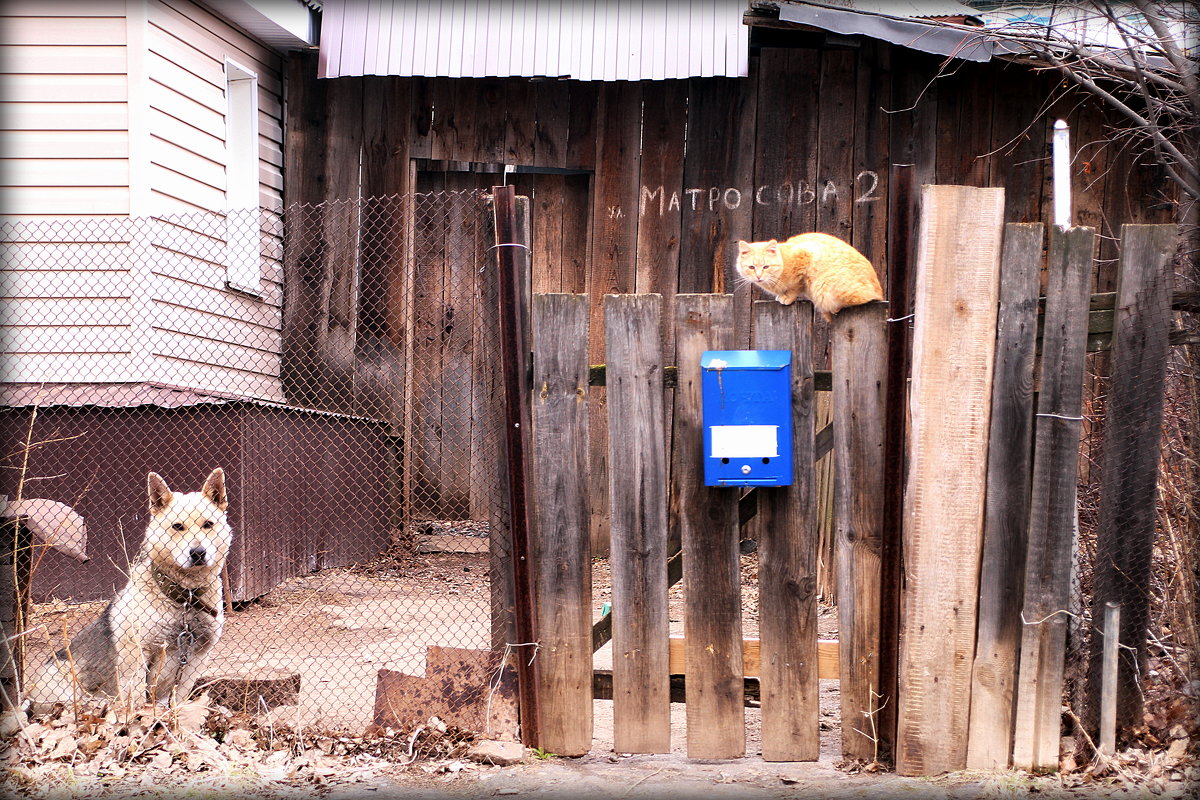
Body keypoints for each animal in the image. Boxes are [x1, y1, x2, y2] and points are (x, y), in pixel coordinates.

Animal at [27, 470, 232, 714]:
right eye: (177, 526)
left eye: (208, 524)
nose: (198, 553)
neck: (185, 599)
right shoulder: (136, 657)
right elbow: (137, 702)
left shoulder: (195, 661)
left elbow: (177, 701)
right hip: (70, 693)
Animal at [729, 232, 883, 321]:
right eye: (751, 267)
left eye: (766, 267)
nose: (758, 276)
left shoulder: (804, 259)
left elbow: (795, 287)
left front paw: (787, 297)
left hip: (823, 287)